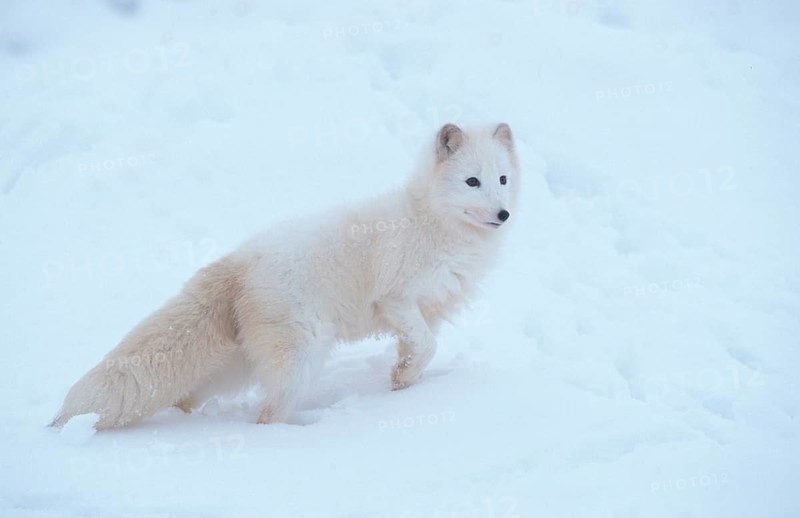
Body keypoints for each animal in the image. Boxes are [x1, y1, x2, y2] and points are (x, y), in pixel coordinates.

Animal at [51, 122, 520, 429]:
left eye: (502, 179)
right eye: (472, 182)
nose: (504, 214)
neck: (434, 223)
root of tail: (240, 260)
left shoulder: (430, 309)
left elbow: (420, 351)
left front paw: (403, 385)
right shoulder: (395, 298)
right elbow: (427, 345)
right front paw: (403, 384)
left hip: (236, 367)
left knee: (186, 397)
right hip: (300, 357)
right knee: (266, 416)